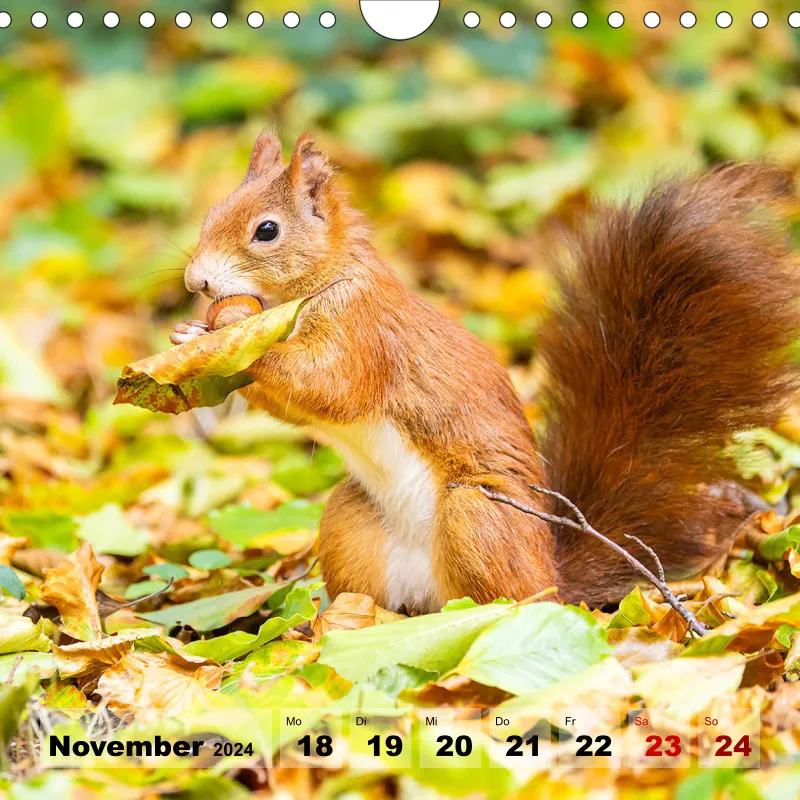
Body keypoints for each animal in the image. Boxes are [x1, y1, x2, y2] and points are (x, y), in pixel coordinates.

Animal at [171, 131, 799, 614]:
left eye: (267, 230)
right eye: (211, 214)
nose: (196, 282)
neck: (309, 290)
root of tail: (553, 576)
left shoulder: (364, 332)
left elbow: (332, 388)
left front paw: (228, 339)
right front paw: (190, 336)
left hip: (478, 517)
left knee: (509, 601)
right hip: (352, 522)